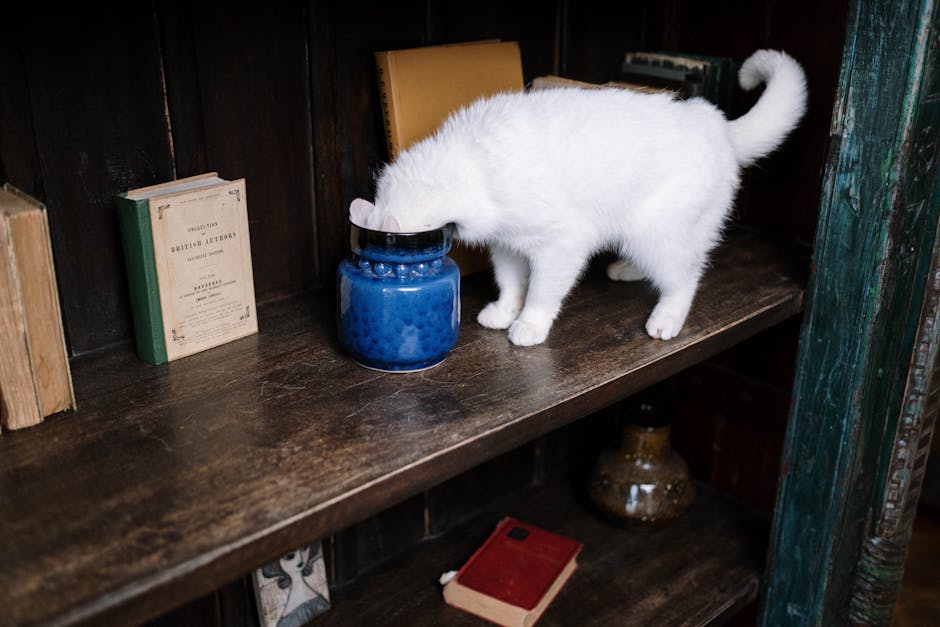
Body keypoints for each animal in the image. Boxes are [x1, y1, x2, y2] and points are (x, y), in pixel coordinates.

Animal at [352, 49, 808, 348]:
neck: (469, 162)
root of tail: (717, 123)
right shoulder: (507, 246)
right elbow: (511, 282)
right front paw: (504, 311)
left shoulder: (563, 245)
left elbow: (541, 292)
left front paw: (529, 326)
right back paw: (626, 270)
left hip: (656, 233)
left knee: (686, 278)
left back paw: (666, 319)